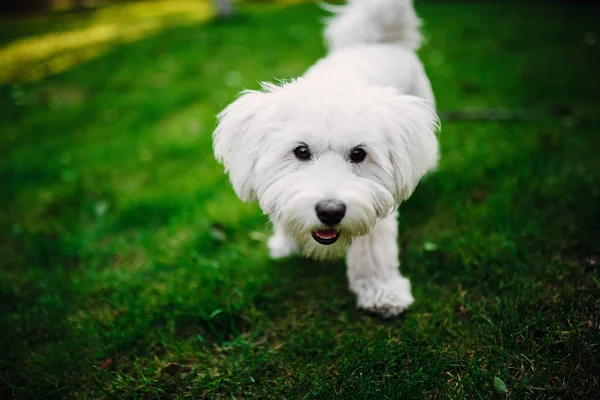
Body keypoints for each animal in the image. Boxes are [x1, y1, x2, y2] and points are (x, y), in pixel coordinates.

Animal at [213, 0, 438, 318]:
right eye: (301, 151)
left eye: (358, 154)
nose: (330, 212)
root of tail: (377, 40)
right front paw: (286, 244)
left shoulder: (375, 200)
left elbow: (374, 250)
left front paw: (382, 291)